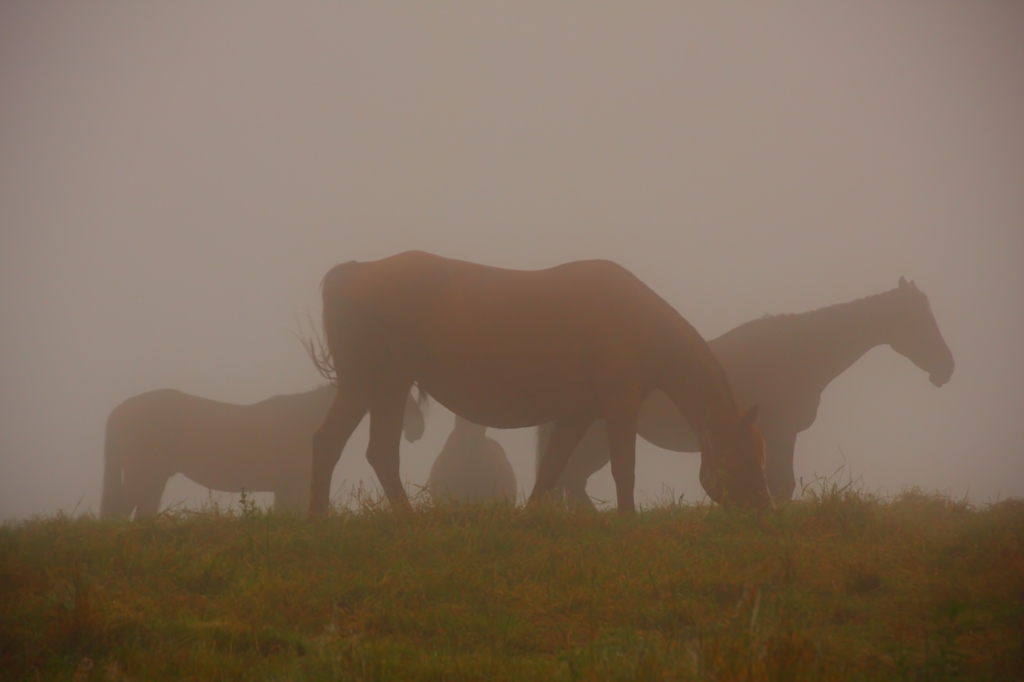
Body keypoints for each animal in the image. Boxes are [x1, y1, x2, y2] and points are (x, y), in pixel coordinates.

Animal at [97, 382, 425, 516]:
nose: (418, 429)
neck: (307, 419)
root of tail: (119, 411)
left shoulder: (287, 488)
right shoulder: (294, 486)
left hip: (155, 479)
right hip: (144, 478)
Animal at [307, 246, 770, 512]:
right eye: (749, 459)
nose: (763, 510)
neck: (639, 319)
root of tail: (357, 271)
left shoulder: (576, 415)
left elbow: (550, 470)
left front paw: (528, 521)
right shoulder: (619, 405)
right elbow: (624, 469)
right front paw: (627, 523)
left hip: (381, 386)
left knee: (369, 451)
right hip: (374, 383)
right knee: (342, 446)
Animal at [540, 276, 954, 503]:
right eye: (918, 319)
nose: (947, 368)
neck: (800, 353)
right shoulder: (781, 432)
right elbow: (782, 485)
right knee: (571, 481)